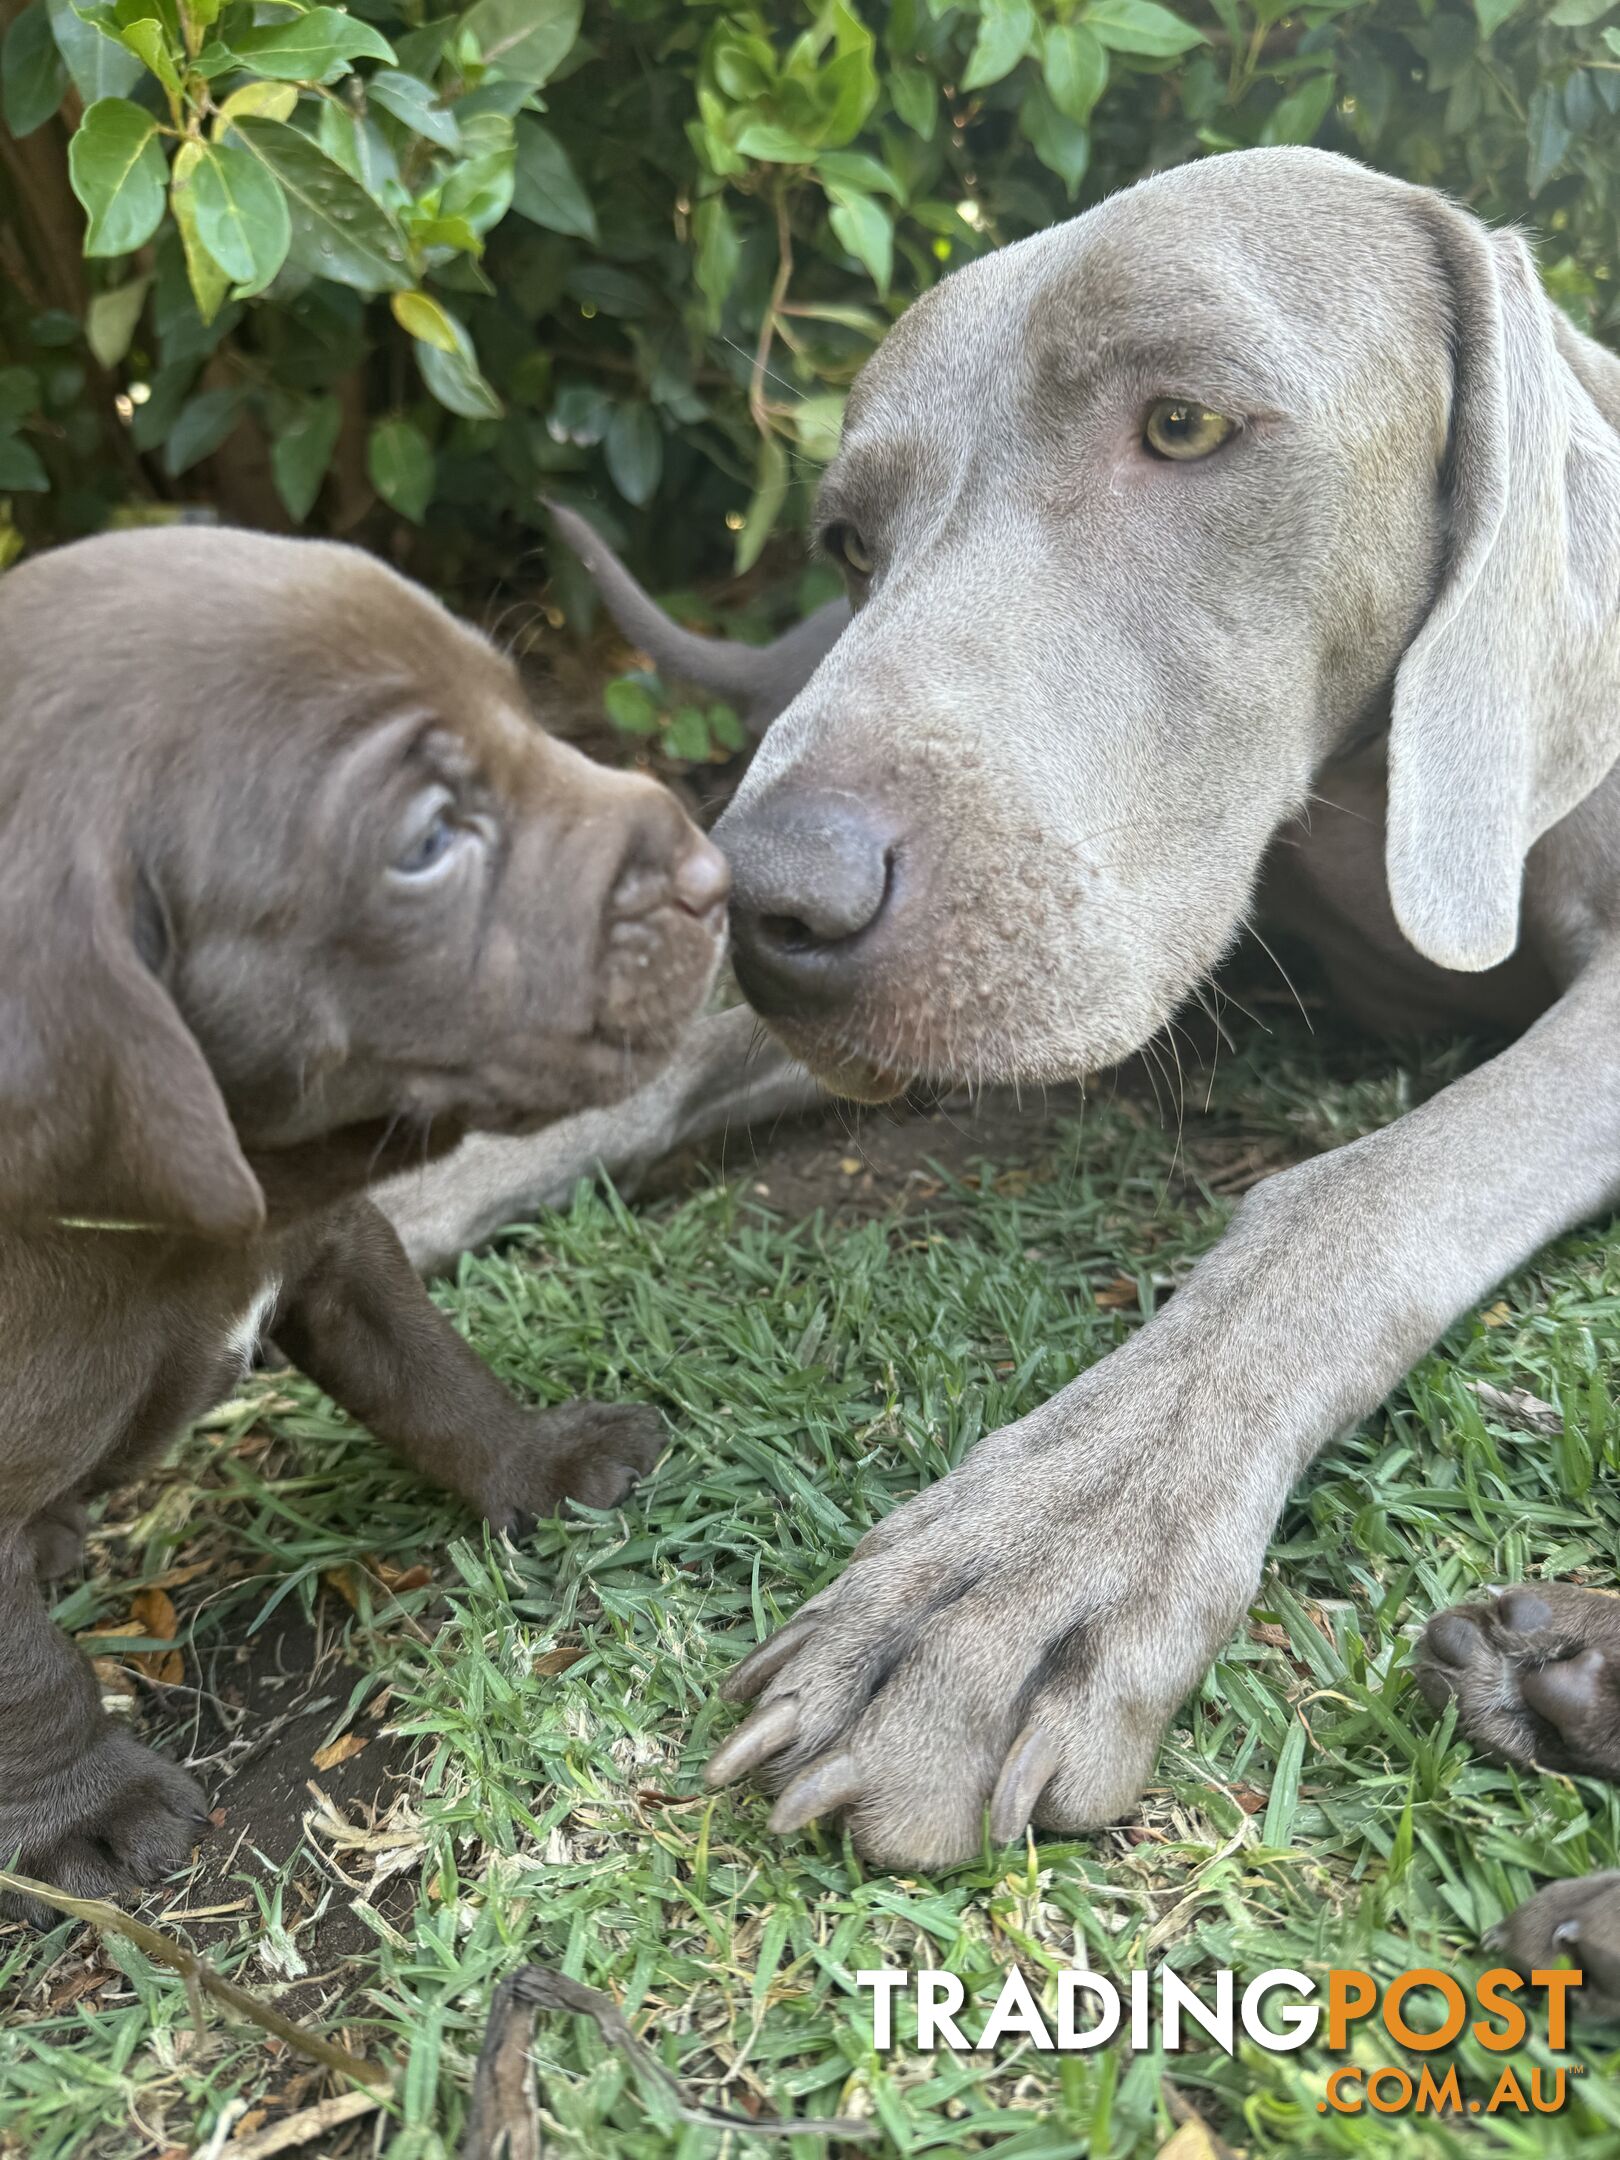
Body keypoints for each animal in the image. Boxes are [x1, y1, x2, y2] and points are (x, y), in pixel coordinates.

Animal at [0, 531, 725, 1918]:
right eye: (430, 839)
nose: (716, 874)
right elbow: (26, 1677)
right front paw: (89, 1806)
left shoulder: (337, 1249)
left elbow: (434, 1376)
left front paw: (540, 1464)